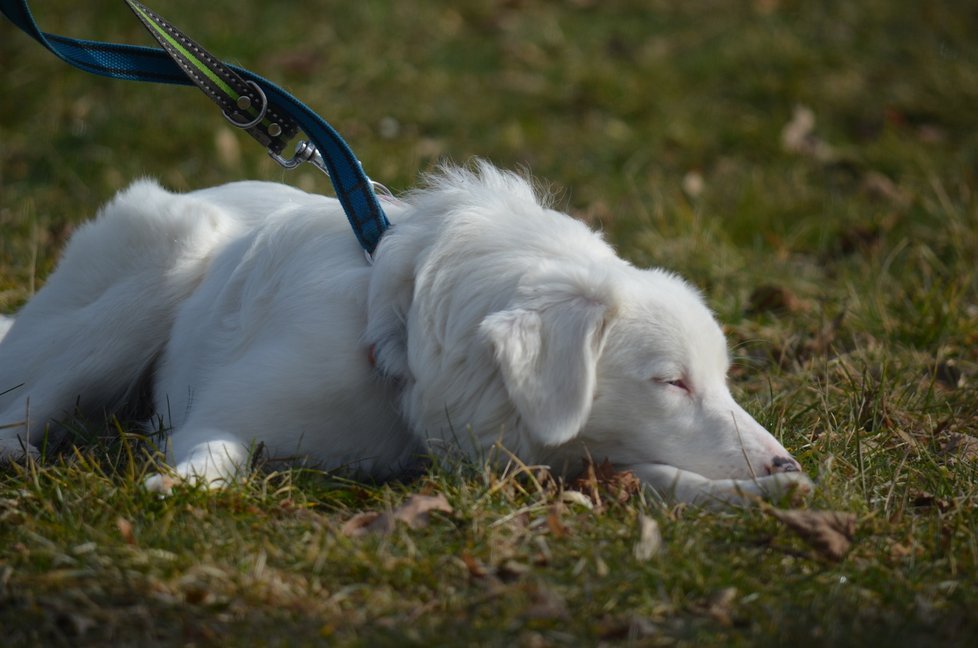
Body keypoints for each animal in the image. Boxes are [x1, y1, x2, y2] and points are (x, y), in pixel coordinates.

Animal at [0, 163, 808, 506]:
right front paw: (185, 484)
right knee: (26, 401)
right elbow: (215, 449)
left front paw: (762, 496)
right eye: (671, 381)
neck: (404, 353)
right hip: (158, 271)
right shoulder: (219, 414)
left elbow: (660, 475)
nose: (784, 462)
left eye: (722, 379)